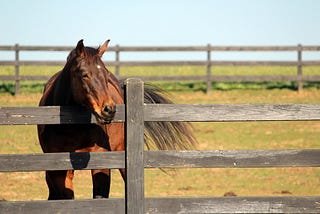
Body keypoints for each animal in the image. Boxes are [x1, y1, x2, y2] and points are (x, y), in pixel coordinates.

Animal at [37, 39, 198, 200]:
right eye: (84, 75)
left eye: (106, 74)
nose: (109, 109)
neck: (71, 126)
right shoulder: (58, 170)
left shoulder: (101, 161)